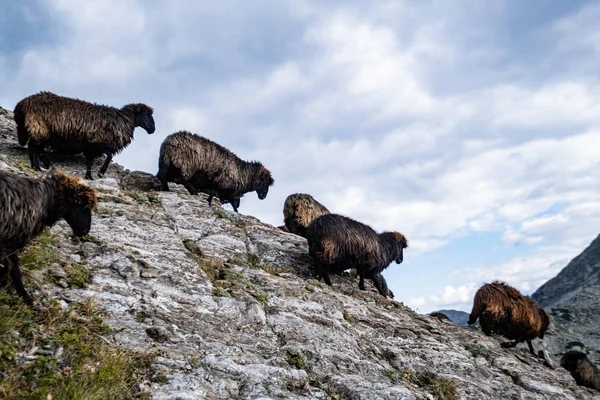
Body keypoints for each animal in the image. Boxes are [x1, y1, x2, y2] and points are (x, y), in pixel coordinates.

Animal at [0, 168, 96, 304]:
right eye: (80, 205)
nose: (85, 231)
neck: (45, 201)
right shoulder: (10, 241)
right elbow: (14, 270)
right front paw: (28, 300)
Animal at [14, 92, 156, 180]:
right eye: (146, 114)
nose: (153, 129)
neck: (122, 120)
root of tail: (22, 104)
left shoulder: (90, 147)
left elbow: (90, 162)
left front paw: (89, 177)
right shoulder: (97, 143)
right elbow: (109, 156)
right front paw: (100, 173)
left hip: (42, 133)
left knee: (37, 149)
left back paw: (44, 165)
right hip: (38, 128)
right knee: (33, 148)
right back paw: (37, 167)